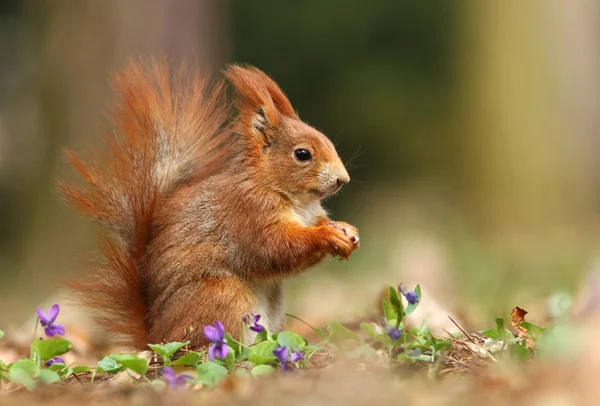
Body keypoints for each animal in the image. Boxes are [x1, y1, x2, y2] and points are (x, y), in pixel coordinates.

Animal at [60, 60, 358, 348]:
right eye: (302, 154)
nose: (343, 179)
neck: (295, 199)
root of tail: (156, 337)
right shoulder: (249, 213)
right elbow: (276, 248)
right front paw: (327, 235)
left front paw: (346, 230)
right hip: (222, 296)